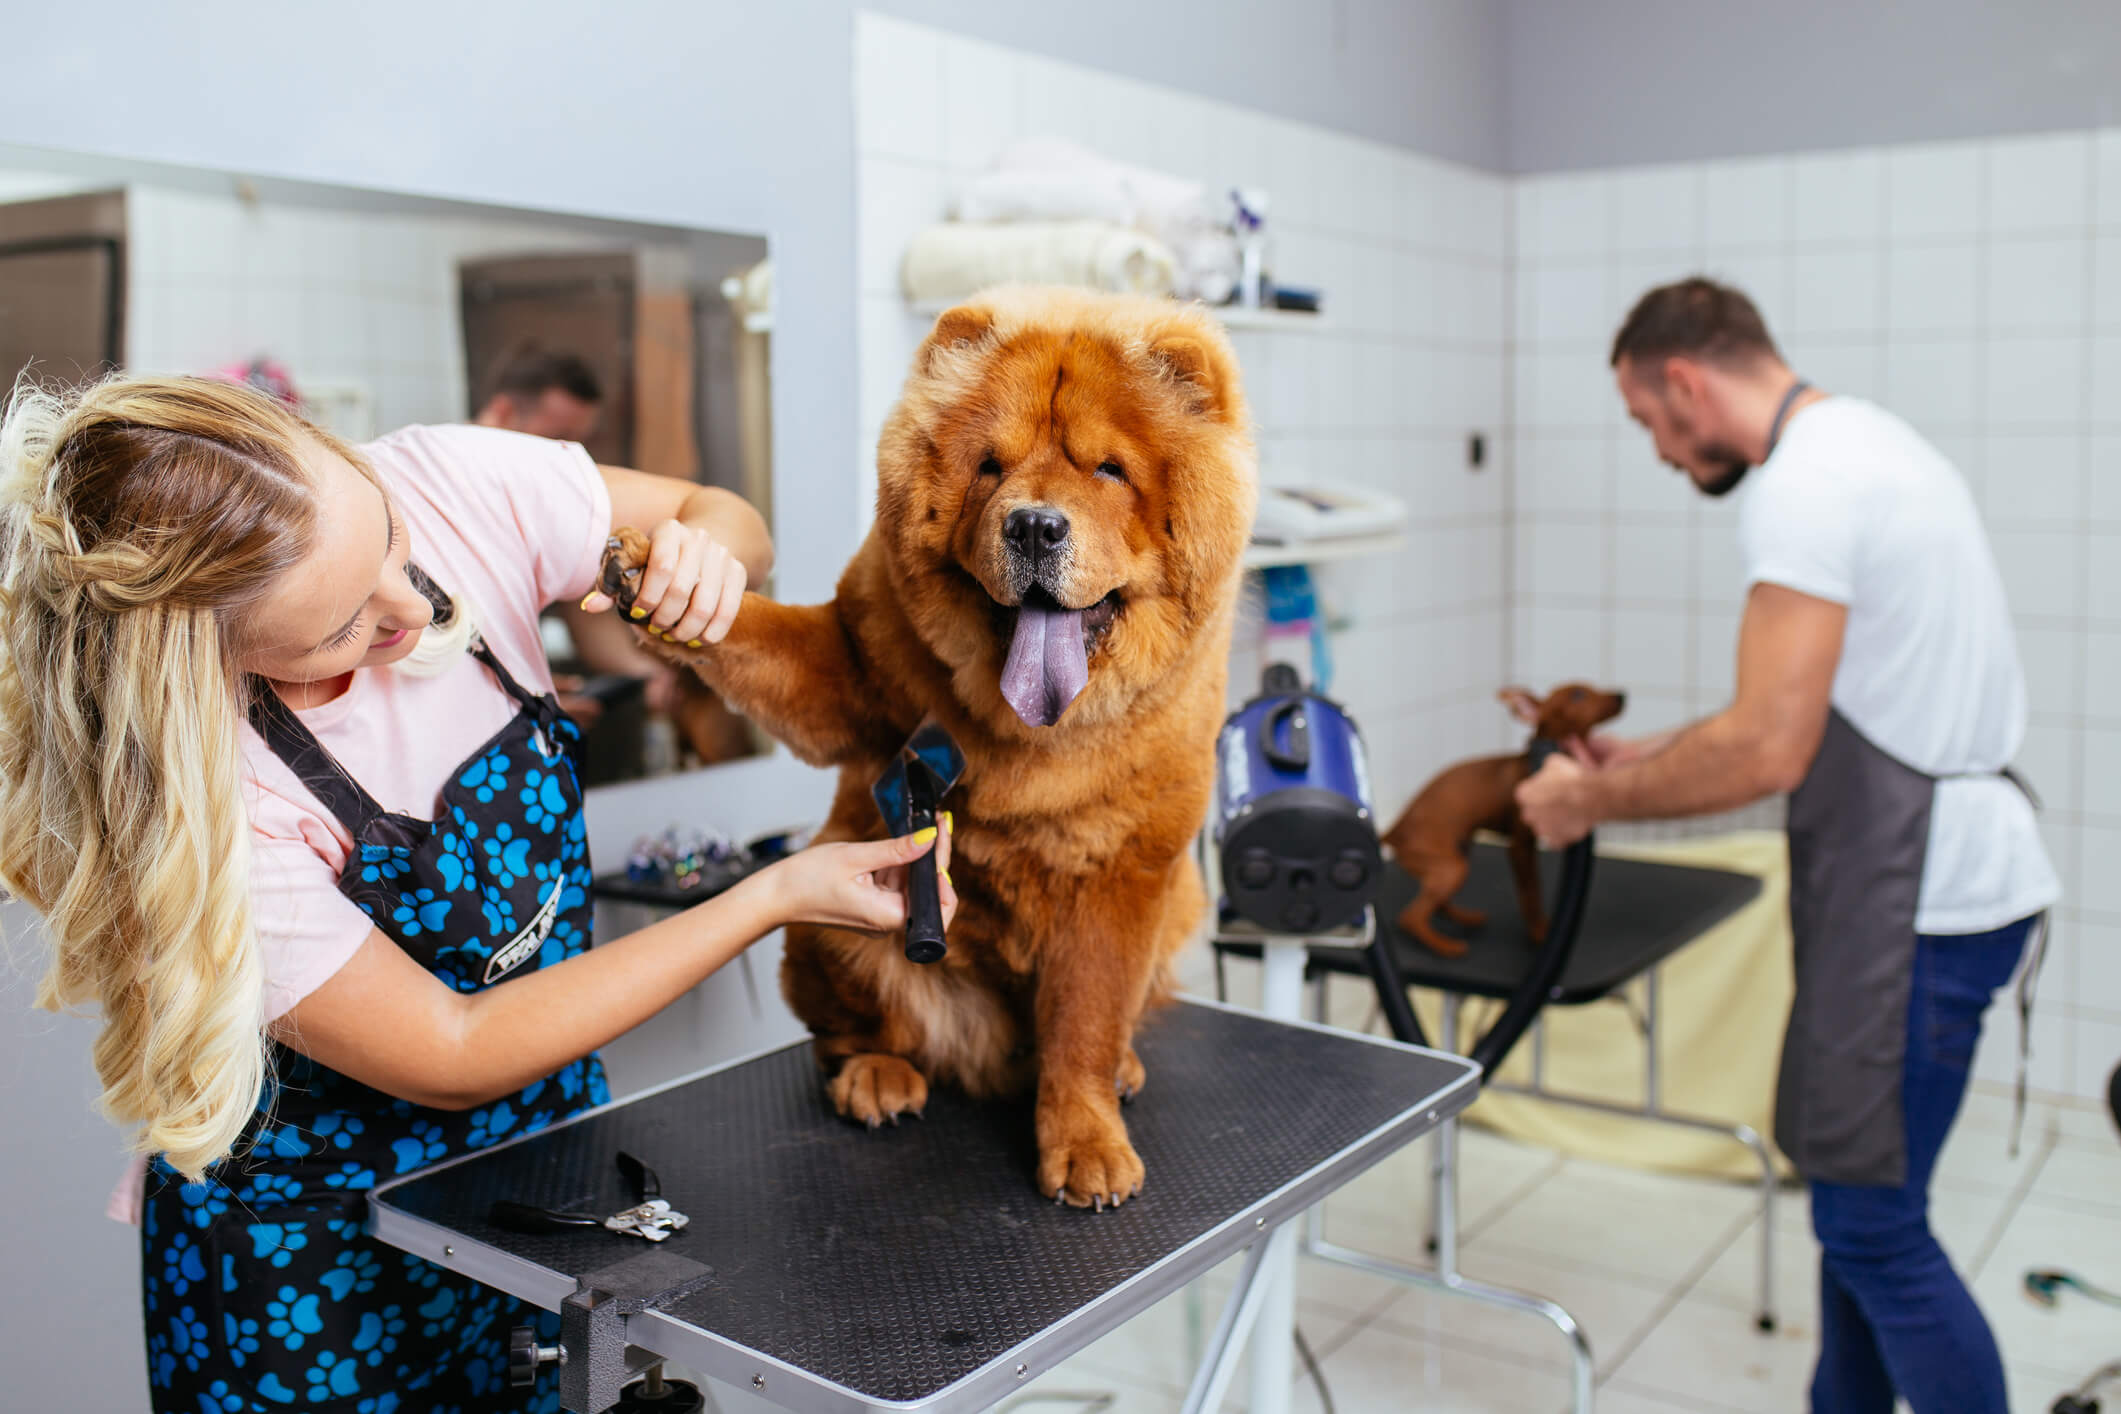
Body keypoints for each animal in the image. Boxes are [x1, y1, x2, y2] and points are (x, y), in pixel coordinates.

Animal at [1382, 686, 1628, 962]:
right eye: (1578, 695)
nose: (1621, 695)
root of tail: (1395, 829)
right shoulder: (1520, 847)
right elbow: (1531, 892)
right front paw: (1539, 932)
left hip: (1456, 855)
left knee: (1437, 904)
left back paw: (1465, 918)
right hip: (1451, 866)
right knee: (1410, 917)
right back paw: (1444, 945)